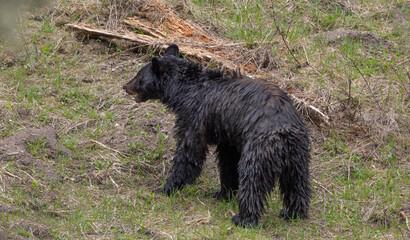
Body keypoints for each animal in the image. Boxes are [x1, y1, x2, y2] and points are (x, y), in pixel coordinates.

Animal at [123, 44, 312, 227]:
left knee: (253, 180)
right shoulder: (227, 132)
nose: (125, 86)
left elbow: (190, 152)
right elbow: (228, 162)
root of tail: (285, 132)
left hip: (260, 148)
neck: (185, 91)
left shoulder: (196, 116)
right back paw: (293, 213)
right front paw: (222, 193)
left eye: (139, 76)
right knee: (297, 183)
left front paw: (166, 187)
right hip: (298, 155)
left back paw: (244, 219)